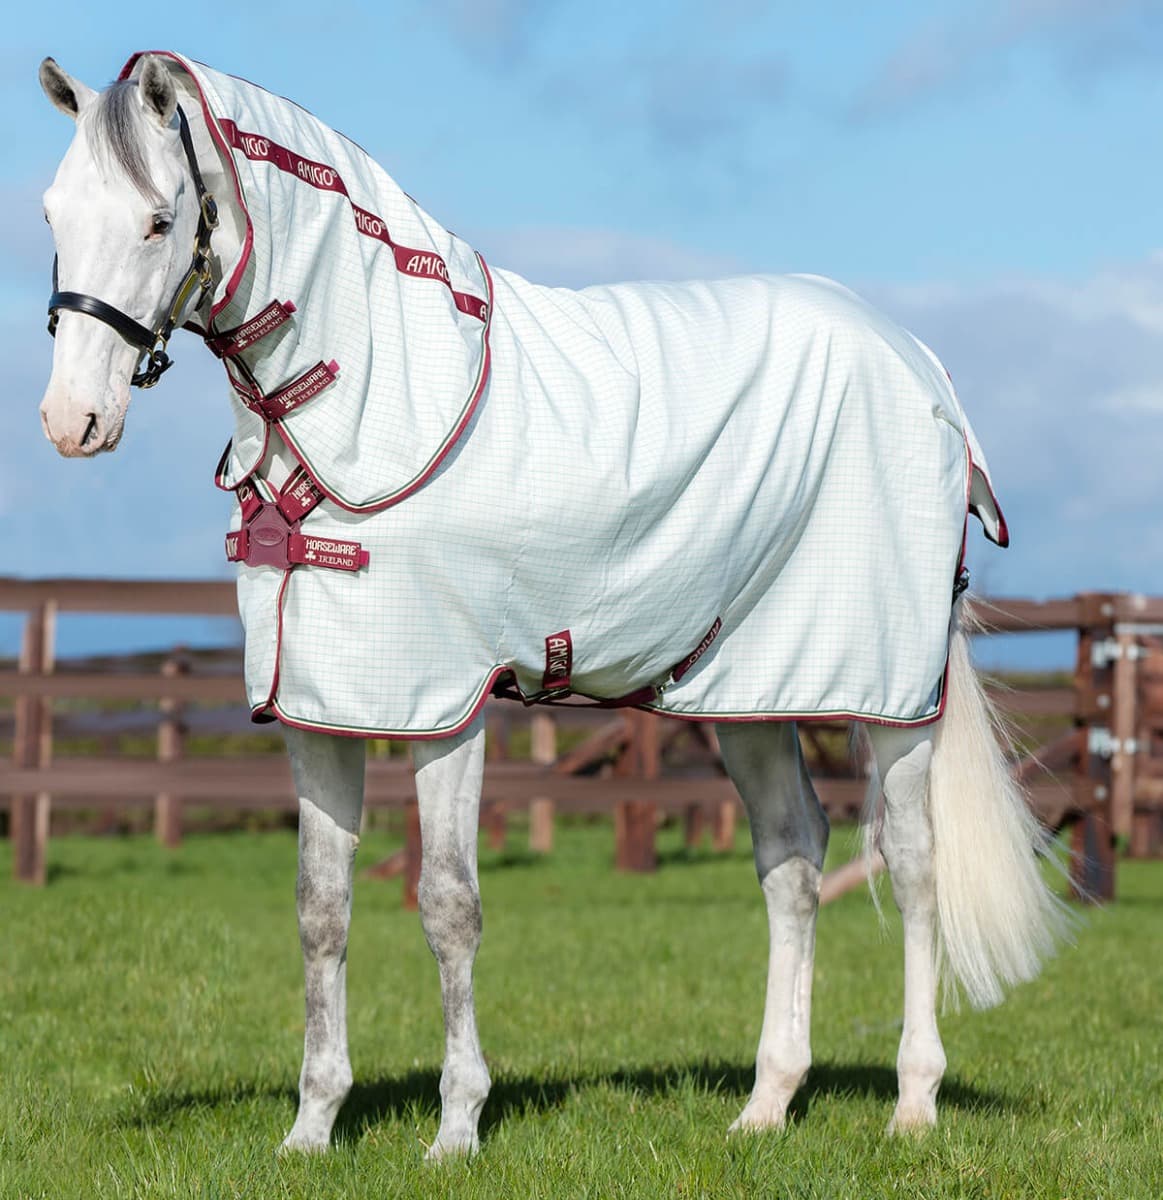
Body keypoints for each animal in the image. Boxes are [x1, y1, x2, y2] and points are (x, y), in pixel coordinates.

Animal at [36, 52, 1066, 1158]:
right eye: (52, 212)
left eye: (157, 220)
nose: (70, 421)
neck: (376, 407)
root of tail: (920, 364)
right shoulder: (321, 707)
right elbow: (321, 909)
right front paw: (311, 1128)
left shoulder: (445, 706)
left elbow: (449, 905)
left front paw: (456, 1126)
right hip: (751, 688)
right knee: (791, 858)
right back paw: (765, 1103)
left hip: (885, 693)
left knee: (911, 864)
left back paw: (912, 1104)